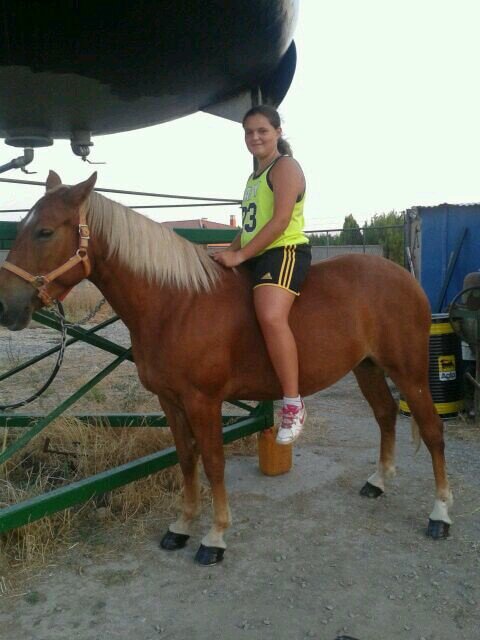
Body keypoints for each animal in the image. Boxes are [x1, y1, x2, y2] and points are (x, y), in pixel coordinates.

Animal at [0, 171, 452, 565]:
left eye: (45, 232)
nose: (7, 305)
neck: (177, 304)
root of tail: (402, 276)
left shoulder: (204, 403)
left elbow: (214, 462)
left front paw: (214, 537)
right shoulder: (169, 401)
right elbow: (186, 458)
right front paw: (182, 526)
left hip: (410, 373)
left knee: (431, 430)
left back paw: (440, 514)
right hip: (369, 368)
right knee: (386, 415)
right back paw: (378, 482)